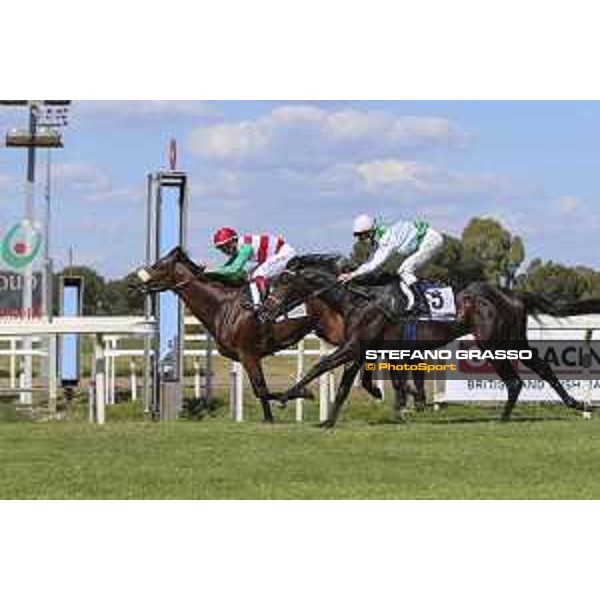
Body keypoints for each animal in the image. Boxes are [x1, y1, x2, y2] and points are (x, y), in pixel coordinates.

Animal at [264, 255, 600, 428]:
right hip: (511, 339)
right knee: (536, 370)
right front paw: (327, 420)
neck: (358, 298)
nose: (264, 310)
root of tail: (513, 294)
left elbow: (320, 367)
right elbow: (348, 384)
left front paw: (285, 396)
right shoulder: (361, 350)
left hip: (494, 342)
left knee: (520, 378)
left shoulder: (355, 346)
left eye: (283, 284)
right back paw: (571, 404)